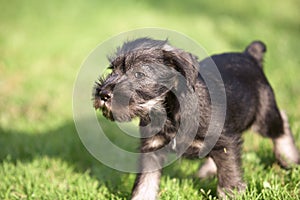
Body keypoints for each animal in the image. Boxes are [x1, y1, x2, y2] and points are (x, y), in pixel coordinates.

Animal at [92, 37, 298, 198]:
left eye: (139, 74)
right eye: (112, 70)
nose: (103, 94)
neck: (167, 113)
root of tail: (249, 55)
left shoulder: (227, 142)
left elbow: (229, 179)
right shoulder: (151, 150)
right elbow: (144, 185)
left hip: (263, 116)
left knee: (282, 123)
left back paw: (289, 158)